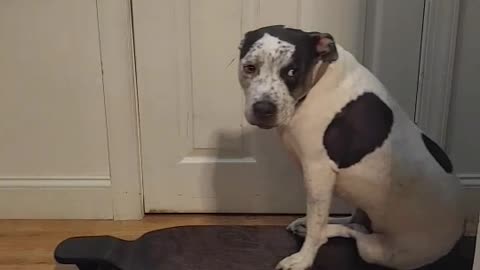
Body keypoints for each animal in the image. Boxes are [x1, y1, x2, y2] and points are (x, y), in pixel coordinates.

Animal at [238, 25, 466, 270]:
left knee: (355, 234)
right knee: (355, 222)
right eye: (250, 67)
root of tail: (458, 232)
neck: (319, 77)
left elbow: (317, 225)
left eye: (292, 71)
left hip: (379, 252)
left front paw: (303, 259)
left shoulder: (318, 172)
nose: (263, 108)